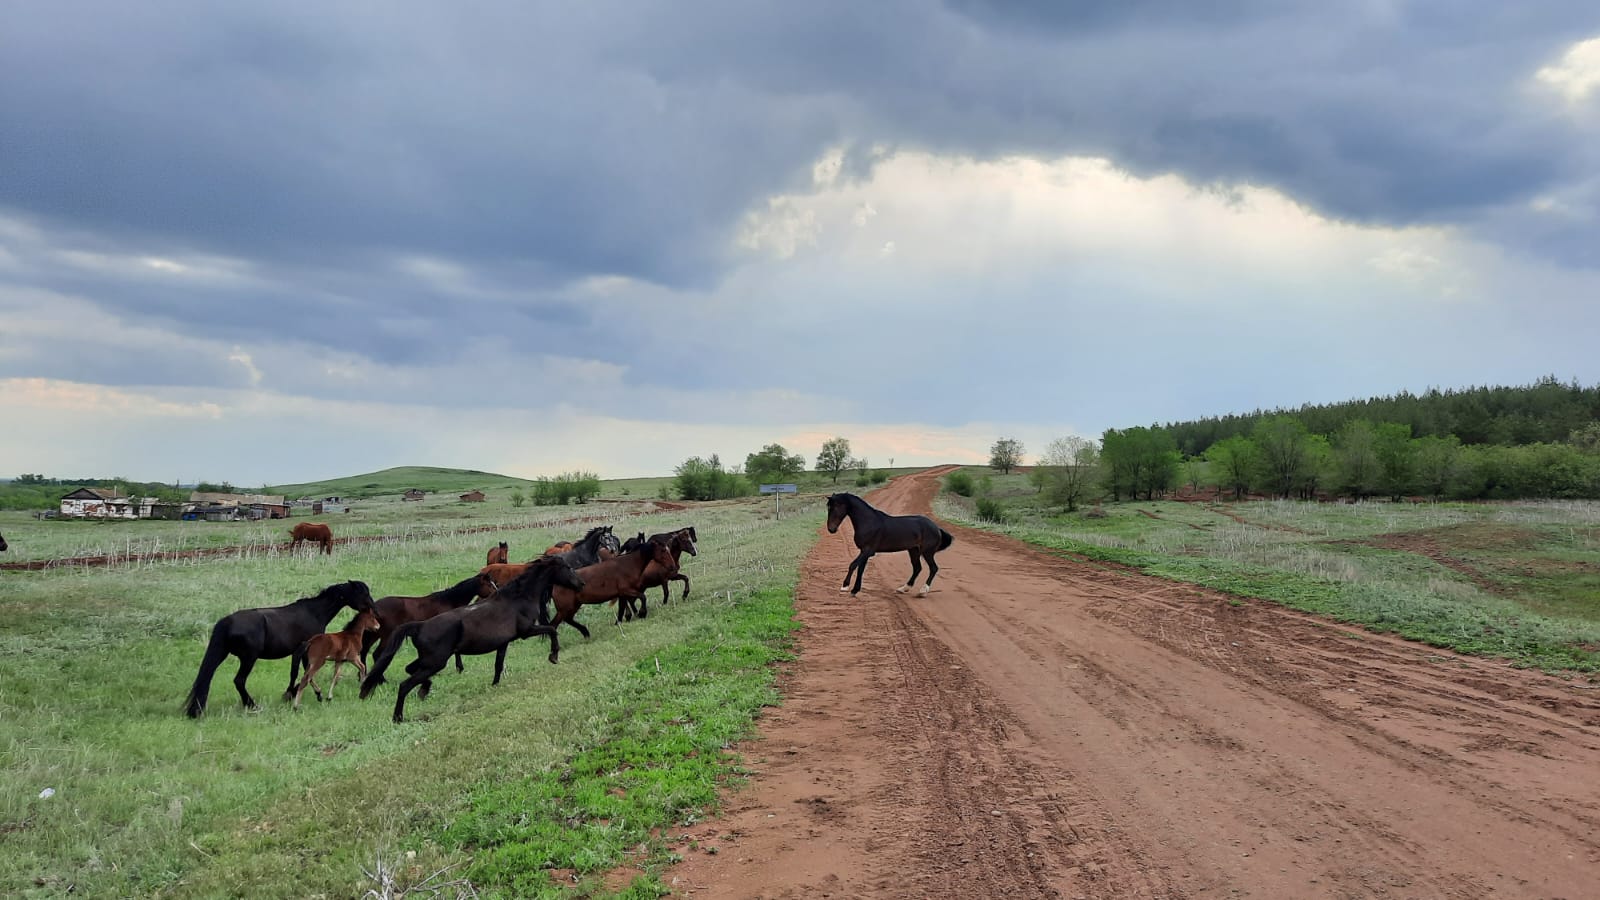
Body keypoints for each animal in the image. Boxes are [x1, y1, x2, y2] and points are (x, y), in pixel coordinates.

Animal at [184, 576, 374, 717]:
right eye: (363, 593)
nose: (372, 607)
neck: (314, 613)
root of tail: (227, 621)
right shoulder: (302, 650)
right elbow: (299, 674)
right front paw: (291, 694)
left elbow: (305, 674)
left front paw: (308, 694)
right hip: (249, 658)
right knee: (239, 681)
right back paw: (252, 705)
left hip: (222, 654)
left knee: (207, 677)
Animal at [360, 554, 585, 720]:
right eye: (567, 567)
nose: (581, 583)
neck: (518, 598)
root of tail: (420, 626)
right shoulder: (526, 631)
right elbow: (552, 630)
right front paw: (554, 656)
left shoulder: (504, 642)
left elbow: (498, 665)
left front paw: (495, 685)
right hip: (436, 661)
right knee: (405, 685)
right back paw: (398, 716)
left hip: (429, 660)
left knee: (410, 670)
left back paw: (424, 689)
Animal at [547, 531, 678, 659]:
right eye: (663, 550)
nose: (673, 566)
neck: (628, 564)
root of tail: (554, 584)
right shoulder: (627, 590)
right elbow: (642, 597)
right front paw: (642, 613)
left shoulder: (622, 594)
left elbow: (622, 608)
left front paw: (620, 622)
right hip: (565, 608)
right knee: (554, 625)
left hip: (573, 606)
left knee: (568, 620)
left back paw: (585, 633)